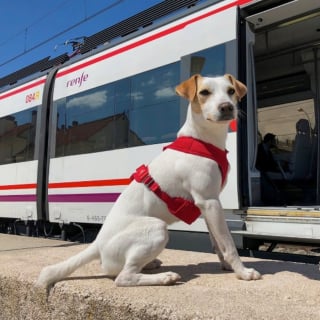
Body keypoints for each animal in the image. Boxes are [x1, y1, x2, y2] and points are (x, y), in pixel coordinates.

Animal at [36, 74, 262, 288]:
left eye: (231, 91)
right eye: (205, 92)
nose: (227, 107)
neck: (202, 141)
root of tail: (98, 244)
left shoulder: (209, 205)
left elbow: (218, 242)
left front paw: (226, 266)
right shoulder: (210, 202)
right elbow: (229, 244)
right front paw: (243, 272)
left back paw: (152, 264)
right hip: (157, 228)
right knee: (124, 277)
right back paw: (164, 277)